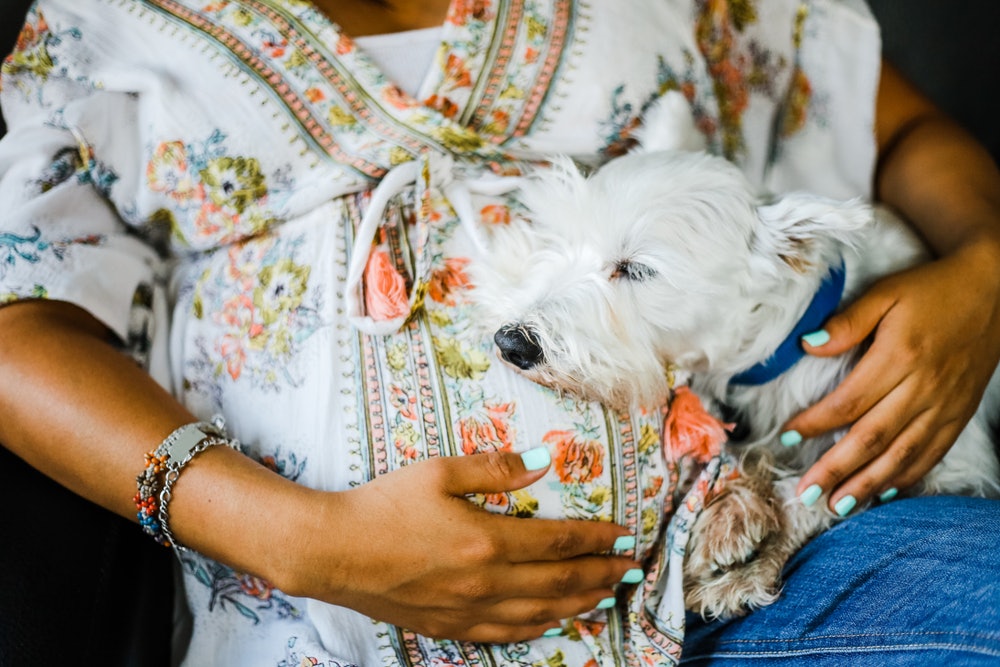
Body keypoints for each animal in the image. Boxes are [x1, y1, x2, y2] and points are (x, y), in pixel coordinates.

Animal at [470, 91, 1000, 620]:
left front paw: (741, 560)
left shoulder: (947, 465)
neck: (768, 361)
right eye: (558, 239)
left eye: (637, 270)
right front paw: (736, 512)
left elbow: (820, 490)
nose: (512, 343)